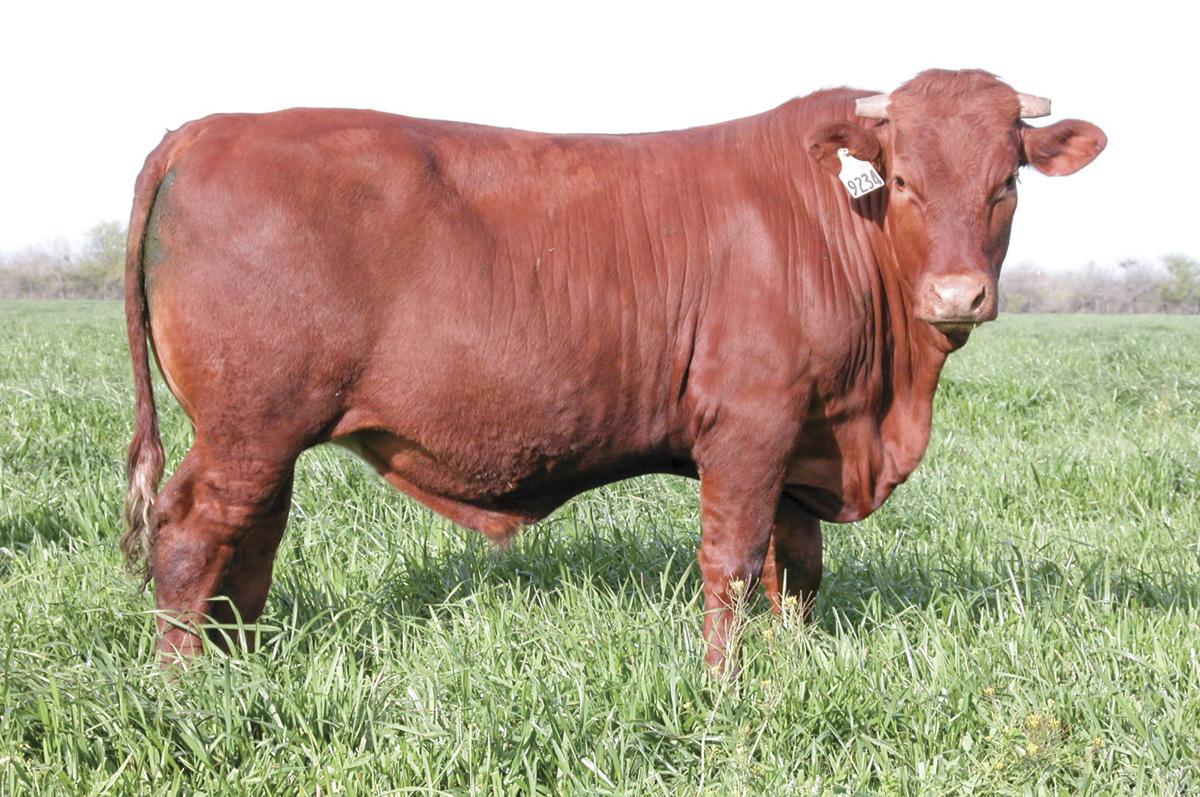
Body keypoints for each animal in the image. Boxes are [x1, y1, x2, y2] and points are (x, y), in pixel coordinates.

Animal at [122, 69, 1105, 671]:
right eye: (902, 181)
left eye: (1006, 182)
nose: (957, 292)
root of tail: (207, 128)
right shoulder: (749, 425)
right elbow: (733, 560)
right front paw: (721, 682)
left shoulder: (805, 439)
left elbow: (798, 569)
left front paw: (793, 666)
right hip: (249, 424)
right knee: (192, 532)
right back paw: (185, 684)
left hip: (267, 432)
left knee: (251, 538)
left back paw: (245, 663)